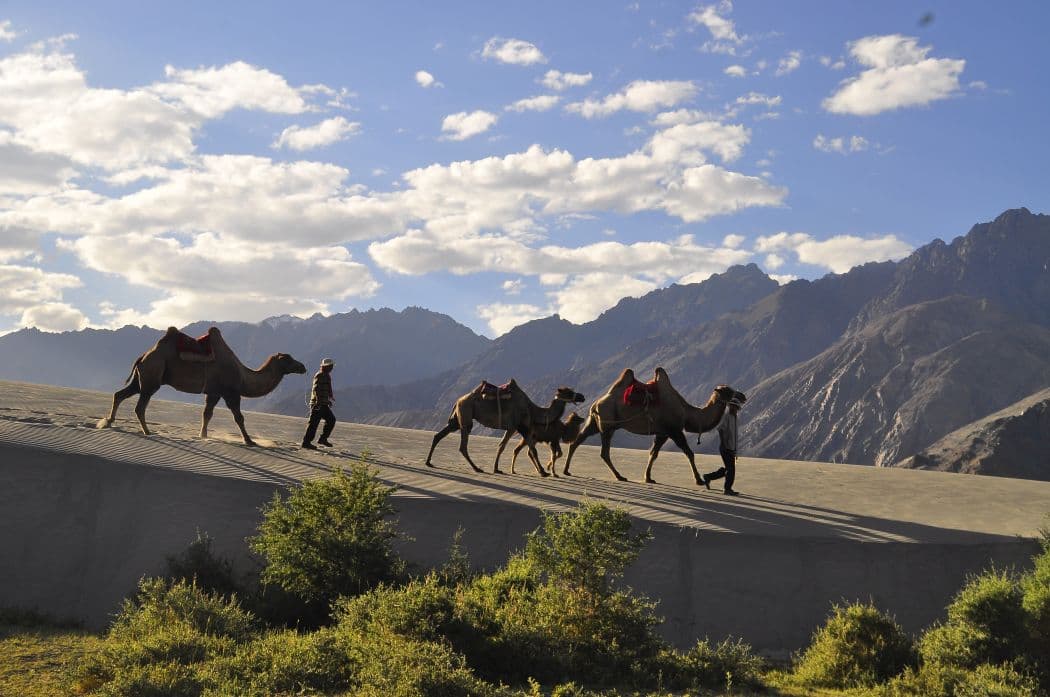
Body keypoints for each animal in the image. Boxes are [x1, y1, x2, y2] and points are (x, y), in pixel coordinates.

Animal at [98, 326, 306, 446]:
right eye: (288, 359)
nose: (303, 367)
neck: (243, 375)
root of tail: (142, 356)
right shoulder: (231, 392)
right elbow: (239, 417)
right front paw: (249, 441)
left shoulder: (214, 392)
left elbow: (207, 414)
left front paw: (203, 435)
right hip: (152, 377)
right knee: (140, 406)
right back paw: (147, 431)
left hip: (140, 379)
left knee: (120, 394)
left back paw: (108, 422)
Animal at [424, 381, 585, 476]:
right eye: (569, 392)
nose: (582, 396)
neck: (533, 409)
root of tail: (458, 400)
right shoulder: (519, 427)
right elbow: (532, 450)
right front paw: (543, 472)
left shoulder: (517, 428)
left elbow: (504, 446)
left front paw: (497, 468)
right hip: (466, 416)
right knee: (462, 445)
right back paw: (477, 468)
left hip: (456, 420)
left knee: (439, 435)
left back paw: (428, 462)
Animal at [562, 367, 745, 485]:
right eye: (728, 391)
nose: (742, 395)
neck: (687, 413)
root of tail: (595, 404)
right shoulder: (674, 430)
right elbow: (689, 453)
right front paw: (698, 479)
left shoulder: (662, 433)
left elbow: (653, 453)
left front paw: (648, 478)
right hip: (607, 426)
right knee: (604, 452)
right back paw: (620, 476)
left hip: (594, 423)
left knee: (577, 441)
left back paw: (566, 470)